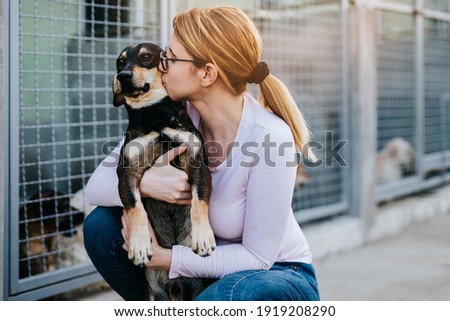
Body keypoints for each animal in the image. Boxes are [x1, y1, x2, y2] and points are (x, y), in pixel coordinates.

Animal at [113, 42, 217, 300]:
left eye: (146, 57)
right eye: (120, 62)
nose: (122, 76)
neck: (155, 117)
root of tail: (174, 285)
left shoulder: (199, 165)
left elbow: (199, 202)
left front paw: (203, 236)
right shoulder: (126, 174)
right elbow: (135, 208)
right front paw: (139, 244)